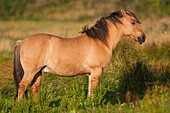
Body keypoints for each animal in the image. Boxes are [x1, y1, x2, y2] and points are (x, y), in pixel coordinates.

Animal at [13, 9, 146, 100]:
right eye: (133, 22)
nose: (143, 37)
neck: (100, 41)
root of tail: (22, 42)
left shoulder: (91, 73)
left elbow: (90, 91)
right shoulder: (96, 71)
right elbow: (93, 90)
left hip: (38, 72)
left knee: (34, 87)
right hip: (30, 72)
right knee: (22, 86)